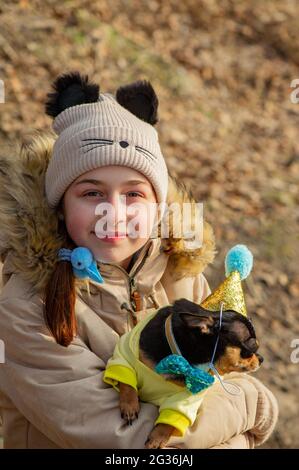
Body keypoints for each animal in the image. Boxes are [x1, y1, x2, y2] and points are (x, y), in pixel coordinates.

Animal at [116, 298, 264, 448]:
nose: (261, 359)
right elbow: (127, 382)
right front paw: (129, 405)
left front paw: (158, 438)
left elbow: (172, 418)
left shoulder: (186, 398)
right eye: (252, 348)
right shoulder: (127, 353)